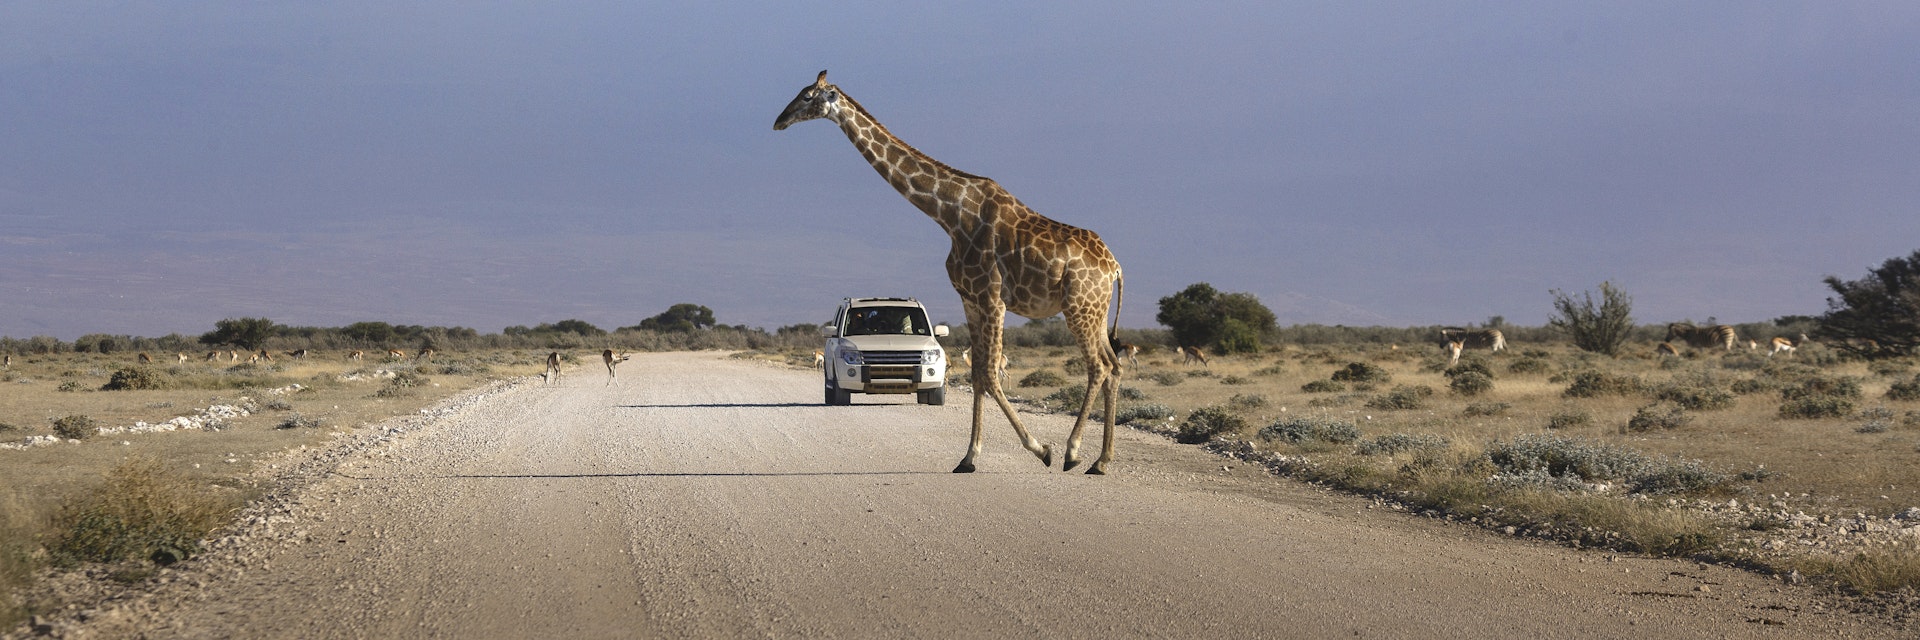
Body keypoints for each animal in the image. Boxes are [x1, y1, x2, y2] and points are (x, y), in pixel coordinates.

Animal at [777, 71, 1127, 474]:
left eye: (807, 96)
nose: (779, 120)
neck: (951, 216)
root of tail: (1115, 267)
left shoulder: (992, 298)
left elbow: (989, 374)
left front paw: (1041, 449)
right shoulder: (970, 299)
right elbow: (977, 376)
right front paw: (969, 458)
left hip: (1079, 307)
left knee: (1098, 366)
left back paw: (1073, 452)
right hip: (1094, 311)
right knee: (1114, 366)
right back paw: (1101, 460)